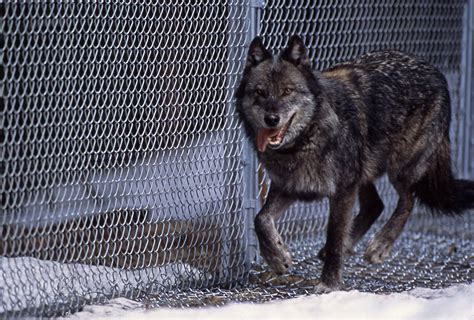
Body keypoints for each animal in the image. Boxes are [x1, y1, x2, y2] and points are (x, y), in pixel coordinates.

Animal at [234, 35, 474, 290]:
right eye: (259, 92)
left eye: (287, 91)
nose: (271, 119)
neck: (307, 138)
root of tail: (436, 72)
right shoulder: (289, 186)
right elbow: (260, 219)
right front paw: (278, 258)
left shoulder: (342, 191)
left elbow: (334, 237)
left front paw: (329, 284)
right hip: (364, 171)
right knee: (376, 205)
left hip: (398, 169)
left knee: (407, 201)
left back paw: (380, 245)